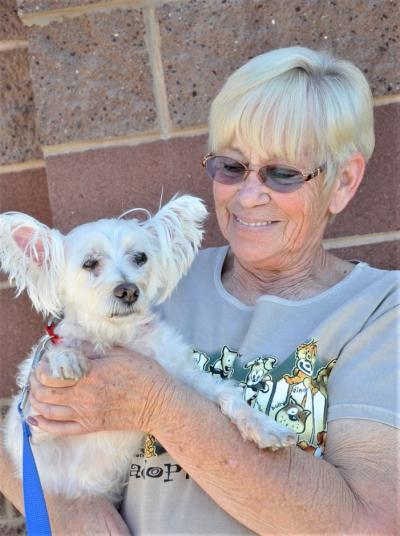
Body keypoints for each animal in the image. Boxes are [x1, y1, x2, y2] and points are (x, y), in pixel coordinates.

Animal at [0, 196, 294, 502]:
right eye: (89, 263)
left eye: (140, 257)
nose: (128, 290)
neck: (117, 336)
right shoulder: (31, 432)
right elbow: (54, 357)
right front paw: (66, 357)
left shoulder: (186, 375)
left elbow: (228, 394)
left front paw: (265, 426)